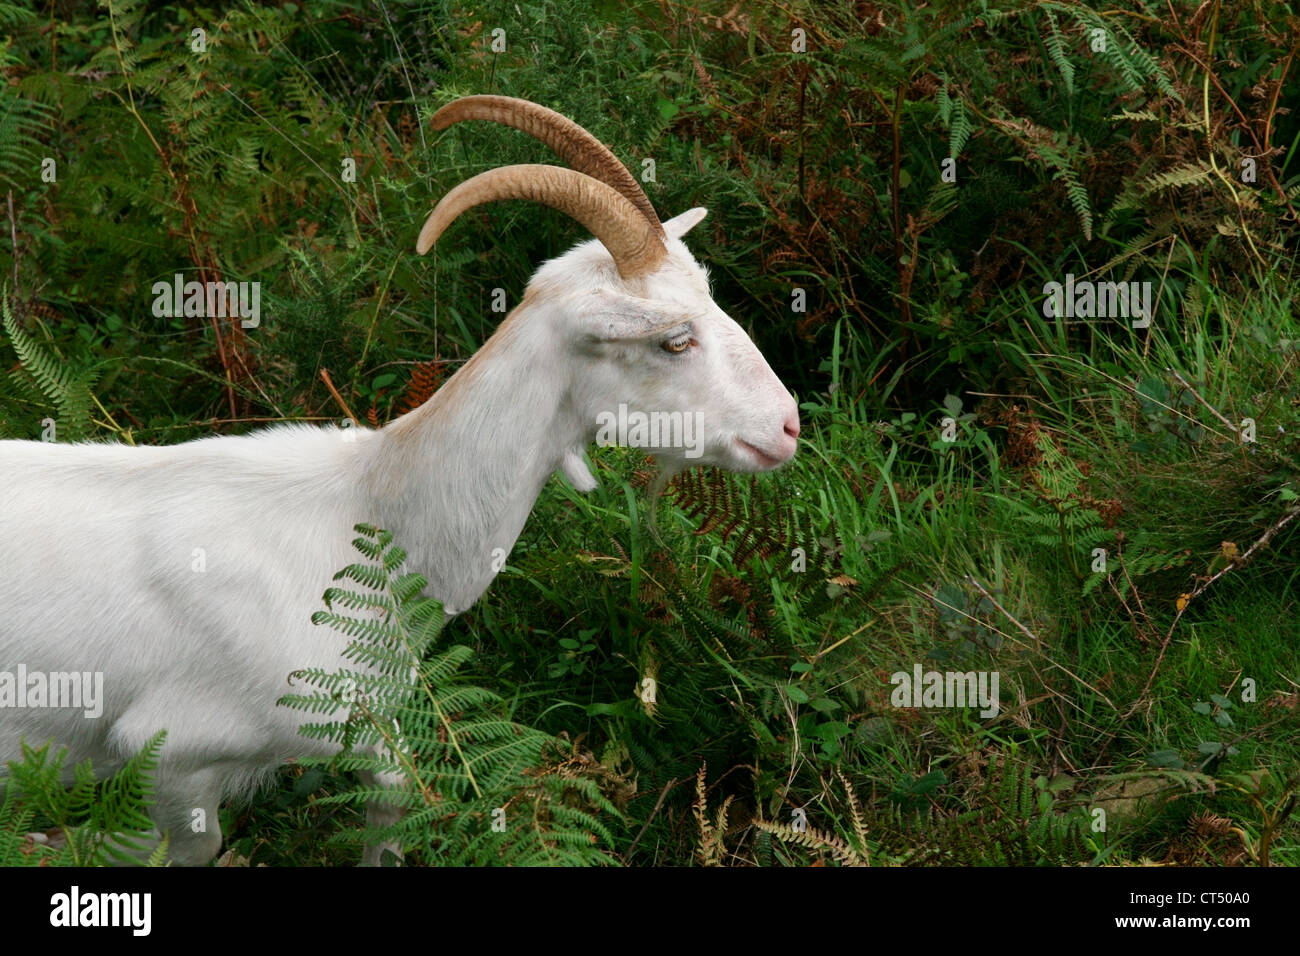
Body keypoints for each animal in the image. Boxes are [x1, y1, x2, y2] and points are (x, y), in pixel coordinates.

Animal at [0, 95, 800, 865]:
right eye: (674, 340)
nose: (788, 425)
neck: (366, 511)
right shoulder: (166, 754)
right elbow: (170, 845)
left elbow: (394, 797)